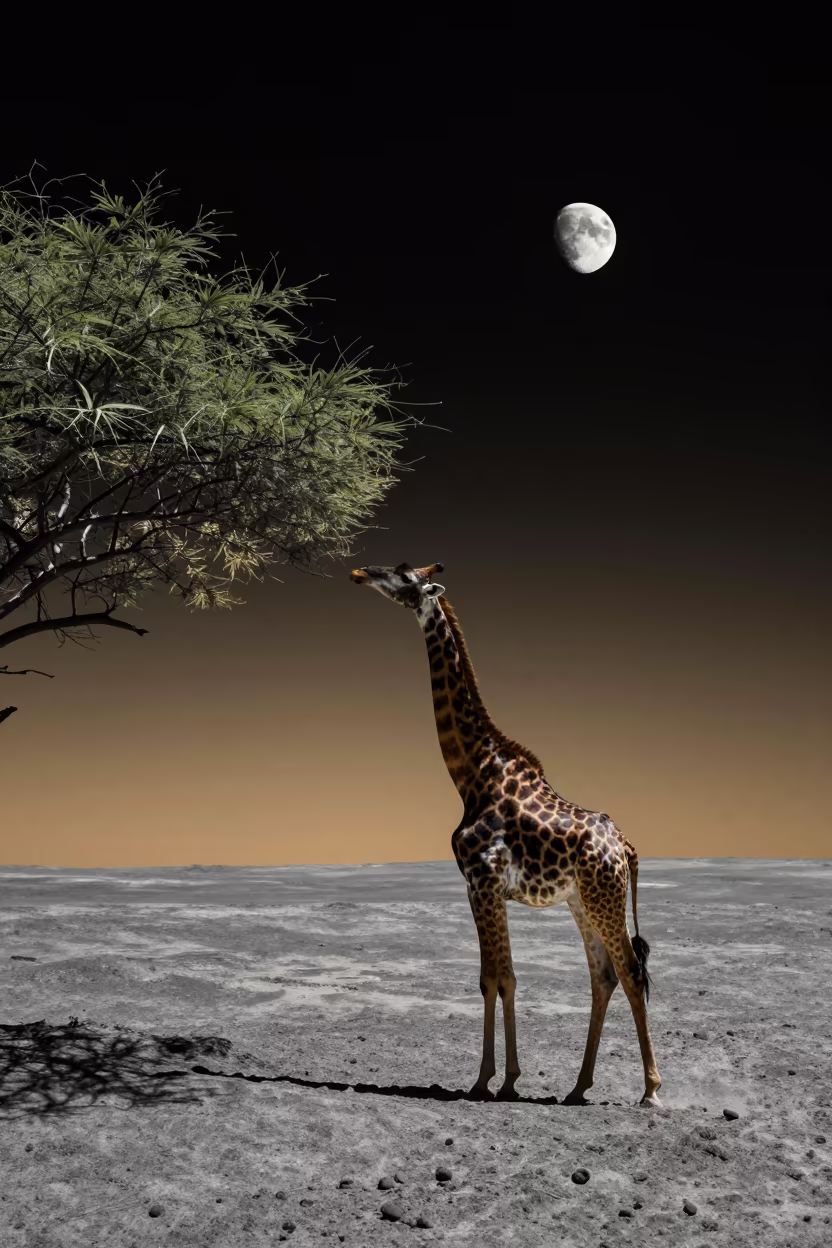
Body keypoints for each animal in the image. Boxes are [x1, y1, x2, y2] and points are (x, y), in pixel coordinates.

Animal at [350, 560, 662, 1107]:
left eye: (404, 575)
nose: (360, 572)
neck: (471, 773)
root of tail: (626, 848)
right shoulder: (484, 887)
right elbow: (499, 977)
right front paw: (508, 1079)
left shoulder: (482, 881)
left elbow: (496, 978)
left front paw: (488, 1080)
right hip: (583, 900)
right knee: (603, 977)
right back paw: (578, 1087)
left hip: (604, 897)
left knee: (629, 973)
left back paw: (650, 1091)